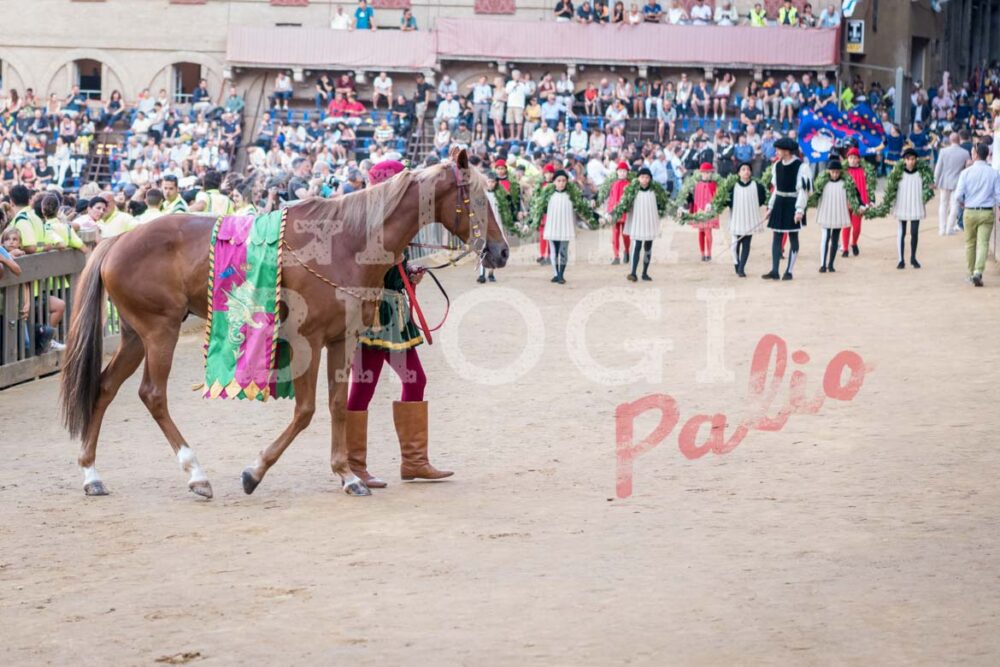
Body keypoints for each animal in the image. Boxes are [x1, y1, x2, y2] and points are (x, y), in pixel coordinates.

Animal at [59, 149, 509, 499]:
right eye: (478, 197)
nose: (501, 251)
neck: (343, 241)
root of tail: (116, 240)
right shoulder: (308, 339)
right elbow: (306, 410)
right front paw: (255, 471)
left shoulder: (342, 339)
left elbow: (338, 405)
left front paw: (348, 475)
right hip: (159, 332)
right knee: (152, 395)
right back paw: (196, 474)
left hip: (135, 336)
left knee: (104, 387)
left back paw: (91, 473)